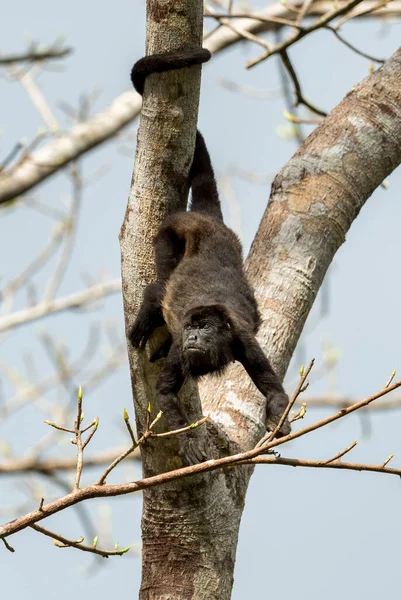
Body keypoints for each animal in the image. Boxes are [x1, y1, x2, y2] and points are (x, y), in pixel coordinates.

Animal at [130, 50, 290, 464]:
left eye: (204, 328)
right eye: (192, 327)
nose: (191, 336)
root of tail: (205, 220)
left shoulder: (244, 341)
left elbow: (274, 390)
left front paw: (279, 424)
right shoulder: (183, 355)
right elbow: (166, 394)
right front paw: (188, 443)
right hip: (168, 234)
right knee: (159, 287)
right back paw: (144, 321)